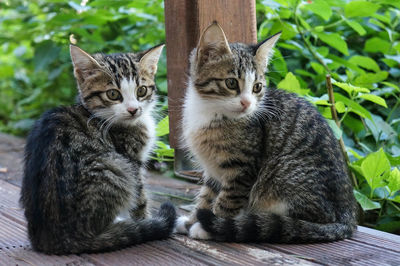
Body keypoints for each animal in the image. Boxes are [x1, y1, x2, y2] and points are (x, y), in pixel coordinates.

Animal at [18, 44, 175, 255]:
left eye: (141, 91)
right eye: (113, 94)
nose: (133, 110)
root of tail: (56, 239)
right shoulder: (131, 159)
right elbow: (140, 198)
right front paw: (145, 220)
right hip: (114, 167)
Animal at [177, 22, 358, 243]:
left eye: (257, 87)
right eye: (231, 83)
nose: (247, 103)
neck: (211, 111)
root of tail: (348, 216)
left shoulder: (243, 168)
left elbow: (228, 200)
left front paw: (210, 226)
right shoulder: (213, 169)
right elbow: (206, 195)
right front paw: (193, 219)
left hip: (285, 181)